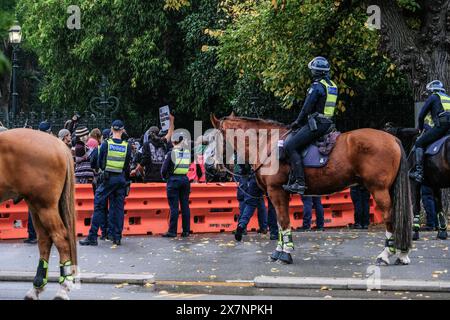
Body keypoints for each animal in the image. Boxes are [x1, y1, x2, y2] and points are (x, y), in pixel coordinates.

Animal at [0, 129, 77, 298]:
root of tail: (58, 143)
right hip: (35, 207)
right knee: (44, 239)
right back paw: (37, 286)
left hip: (45, 207)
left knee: (60, 238)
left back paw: (63, 288)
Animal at [213, 114, 414, 264]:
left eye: (214, 138)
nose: (215, 167)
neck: (267, 144)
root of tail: (392, 138)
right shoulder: (277, 194)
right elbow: (279, 222)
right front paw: (279, 250)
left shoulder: (276, 191)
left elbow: (284, 221)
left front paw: (285, 253)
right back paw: (403, 254)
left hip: (379, 190)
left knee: (390, 217)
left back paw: (386, 255)